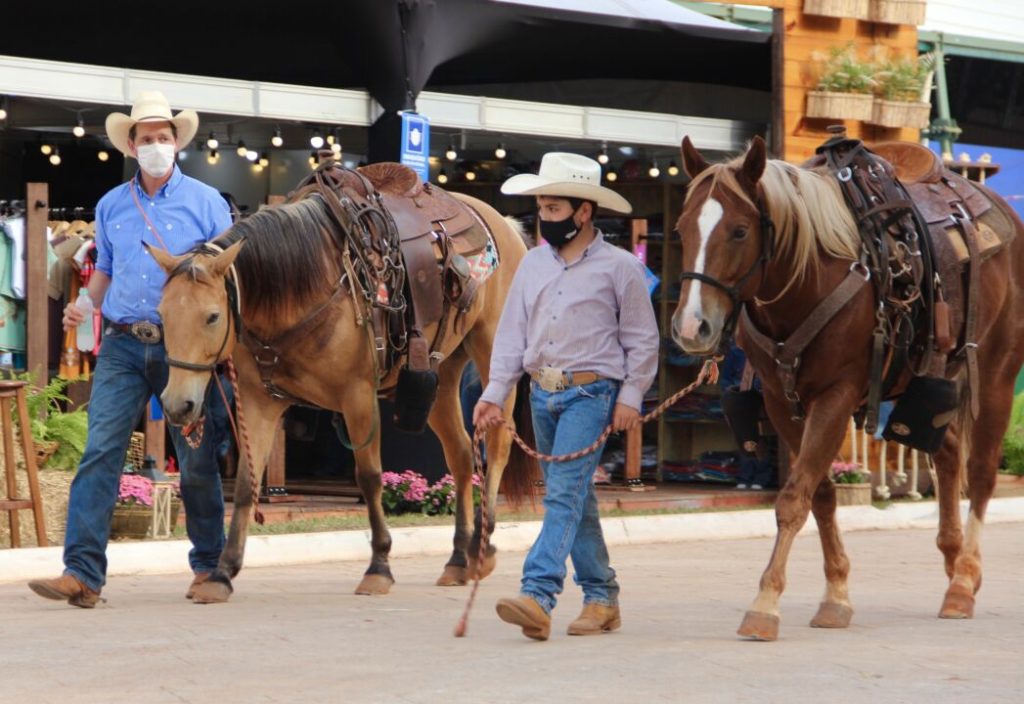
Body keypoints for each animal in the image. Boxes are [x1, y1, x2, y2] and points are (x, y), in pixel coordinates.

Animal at [151, 160, 540, 605]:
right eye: (162, 313)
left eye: (213, 316)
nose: (177, 405)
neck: (303, 284)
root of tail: (506, 225)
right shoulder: (257, 400)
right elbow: (248, 482)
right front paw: (221, 573)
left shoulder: (358, 398)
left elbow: (369, 478)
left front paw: (379, 567)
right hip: (439, 376)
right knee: (460, 454)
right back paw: (458, 559)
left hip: (493, 355)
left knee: (497, 444)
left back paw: (481, 550)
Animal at [671, 135, 1024, 642]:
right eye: (681, 230)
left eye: (739, 231)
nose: (691, 327)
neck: (810, 278)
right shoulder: (782, 403)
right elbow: (818, 494)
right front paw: (836, 595)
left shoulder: (835, 396)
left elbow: (792, 498)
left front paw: (765, 605)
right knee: (948, 451)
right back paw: (954, 562)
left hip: (997, 371)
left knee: (979, 473)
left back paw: (962, 581)